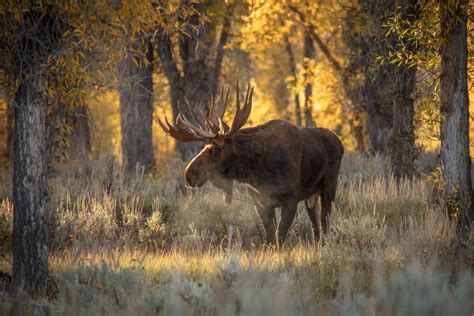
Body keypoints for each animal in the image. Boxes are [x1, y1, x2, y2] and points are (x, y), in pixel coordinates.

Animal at [157, 83, 342, 244]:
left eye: (216, 149)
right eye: (204, 147)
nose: (189, 175)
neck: (256, 173)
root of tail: (340, 143)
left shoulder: (291, 199)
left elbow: (280, 237)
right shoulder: (260, 203)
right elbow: (271, 238)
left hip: (328, 188)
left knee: (325, 223)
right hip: (311, 195)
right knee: (316, 227)